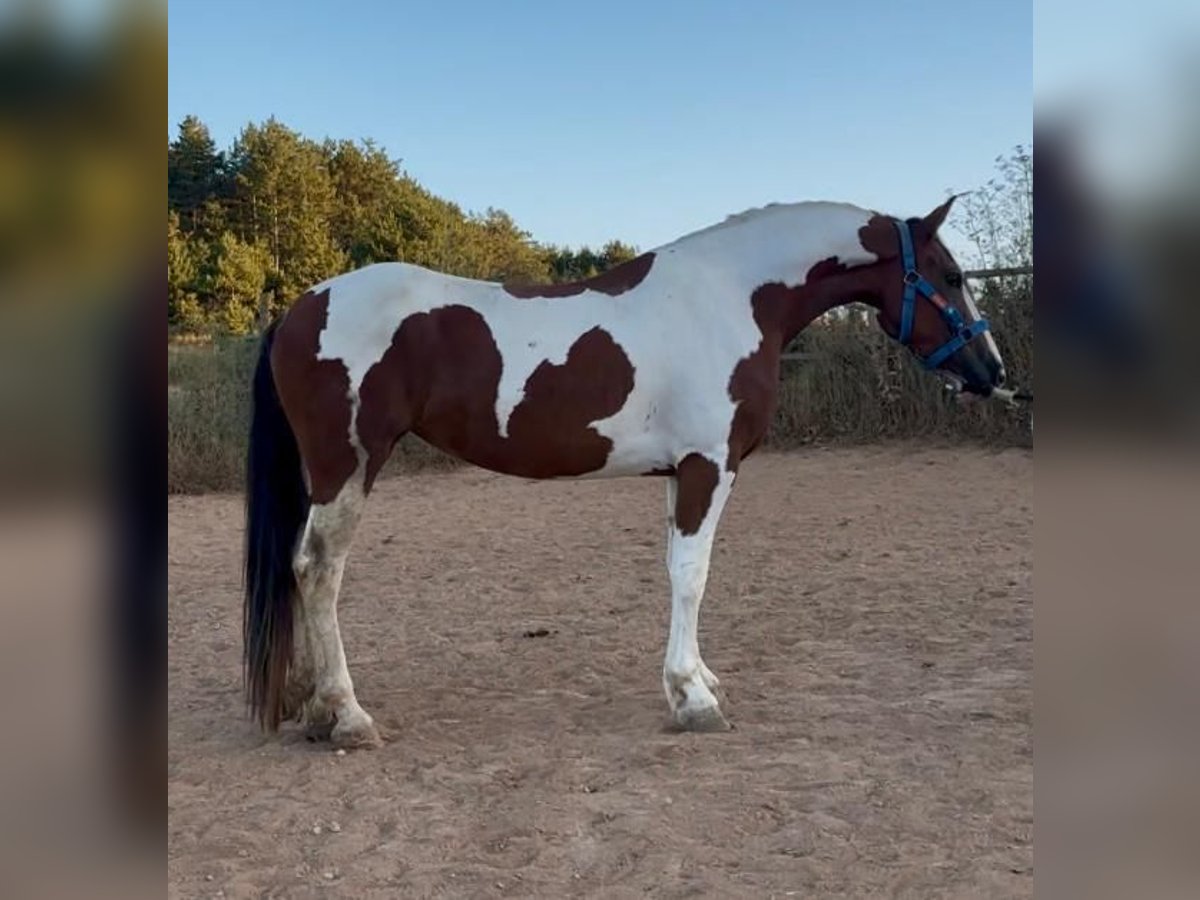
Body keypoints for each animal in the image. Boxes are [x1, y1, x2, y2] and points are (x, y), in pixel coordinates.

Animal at [243, 196, 1007, 749]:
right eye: (950, 277)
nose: (992, 372)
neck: (731, 299)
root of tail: (303, 306)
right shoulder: (709, 466)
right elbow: (693, 575)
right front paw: (693, 700)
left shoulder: (678, 472)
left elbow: (676, 571)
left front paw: (699, 680)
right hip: (348, 465)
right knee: (318, 569)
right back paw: (347, 715)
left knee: (297, 567)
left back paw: (310, 706)